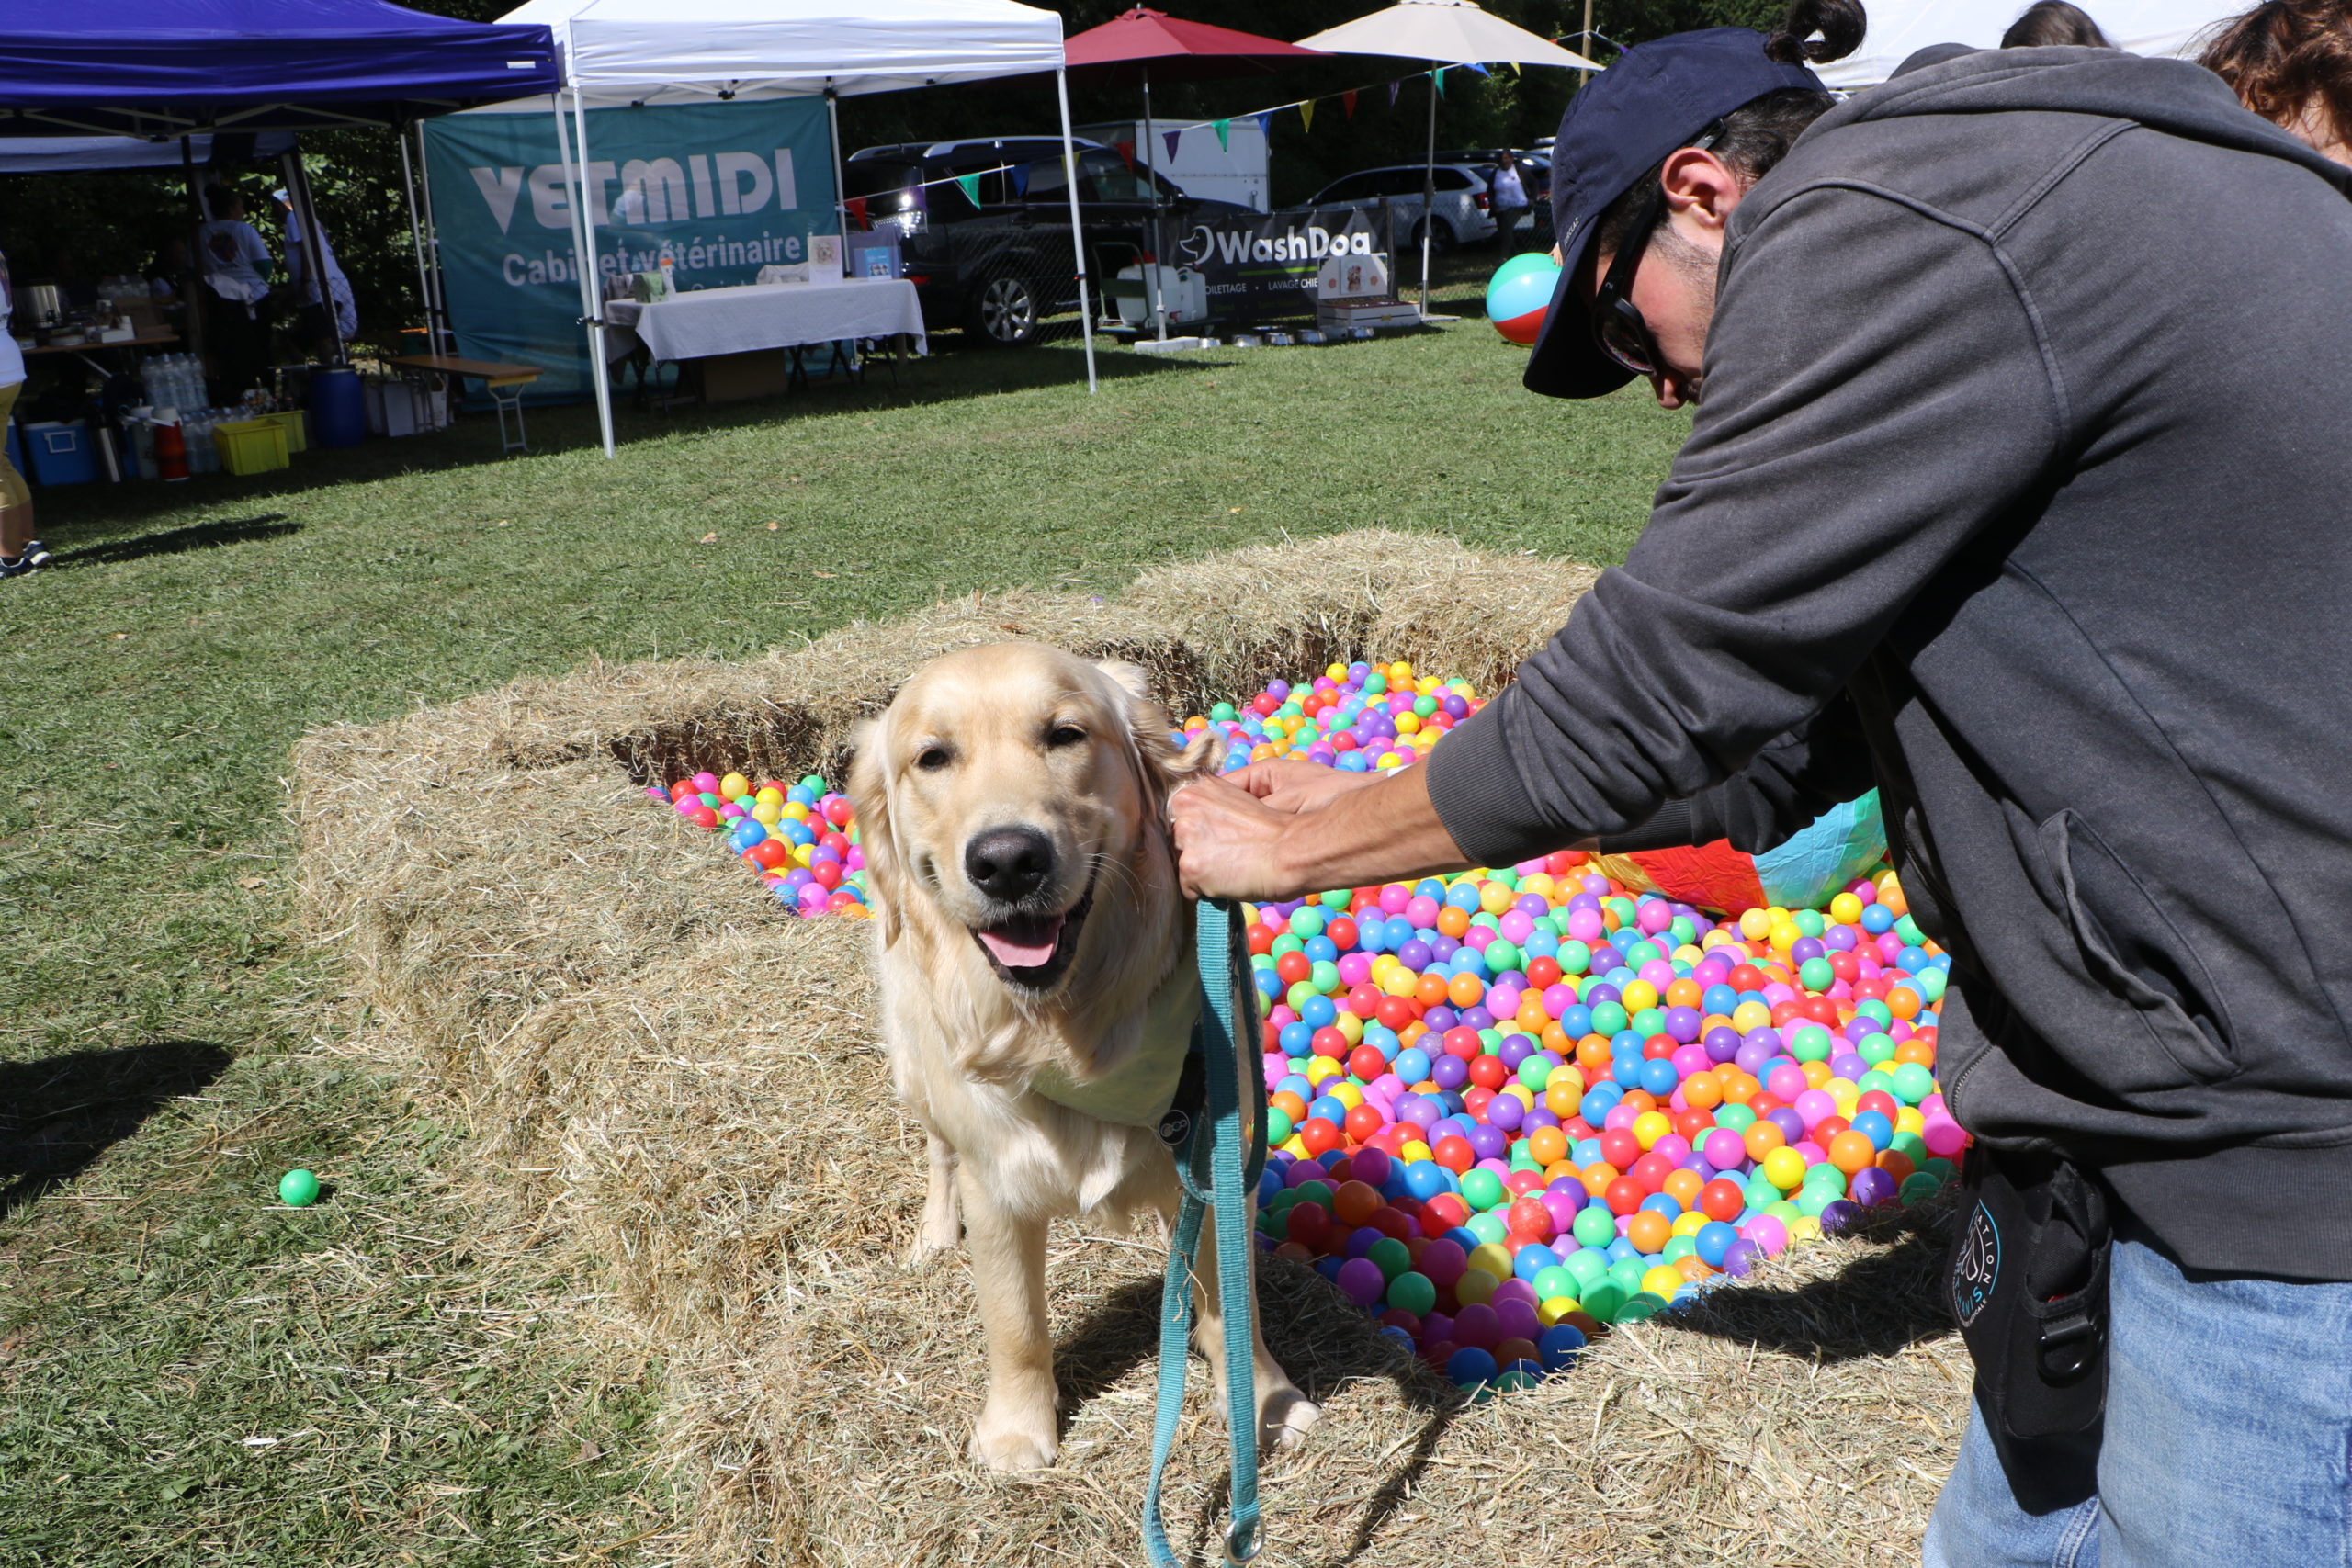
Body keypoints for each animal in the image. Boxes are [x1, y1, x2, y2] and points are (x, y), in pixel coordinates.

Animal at [847, 642, 1320, 1472]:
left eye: (1065, 734)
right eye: (932, 757)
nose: (1009, 861)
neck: (1071, 1034)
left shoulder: (1220, 1161)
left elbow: (1236, 1303)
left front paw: (1265, 1401)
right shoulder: (996, 1185)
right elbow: (1016, 1325)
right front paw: (1016, 1430)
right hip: (914, 1059)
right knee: (936, 1144)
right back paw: (935, 1230)